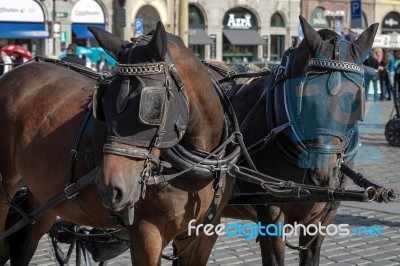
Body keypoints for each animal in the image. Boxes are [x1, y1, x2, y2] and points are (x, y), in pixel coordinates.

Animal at [0, 21, 236, 266]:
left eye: (152, 105)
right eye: (102, 101)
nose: (110, 188)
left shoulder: (204, 235)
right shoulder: (146, 235)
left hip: (43, 196)